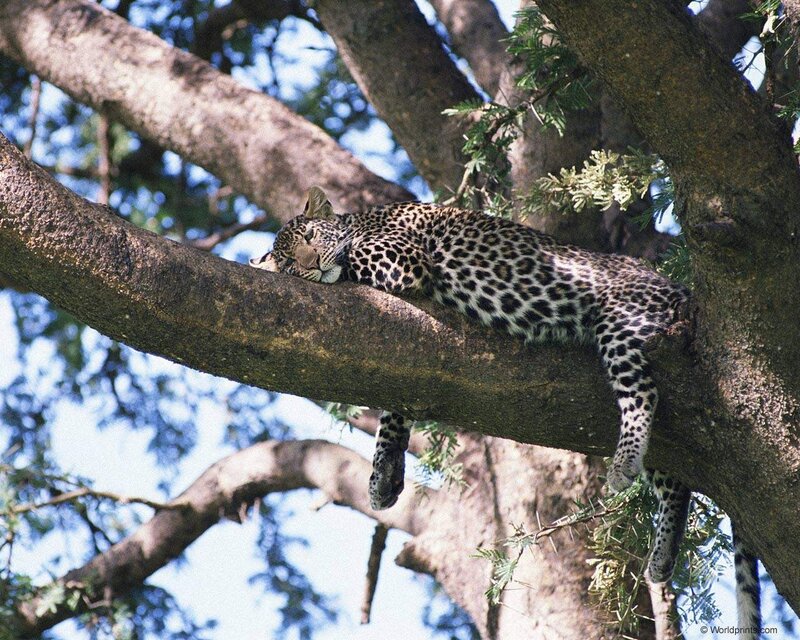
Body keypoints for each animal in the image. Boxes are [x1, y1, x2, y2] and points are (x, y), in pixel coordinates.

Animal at [250, 186, 761, 630]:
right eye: (292, 263)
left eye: (311, 238)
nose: (309, 267)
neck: (361, 218)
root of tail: (678, 287)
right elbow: (395, 409)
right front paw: (383, 477)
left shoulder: (402, 259)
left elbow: (354, 261)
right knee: (677, 481)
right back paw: (661, 556)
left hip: (624, 323)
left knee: (643, 396)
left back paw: (623, 464)